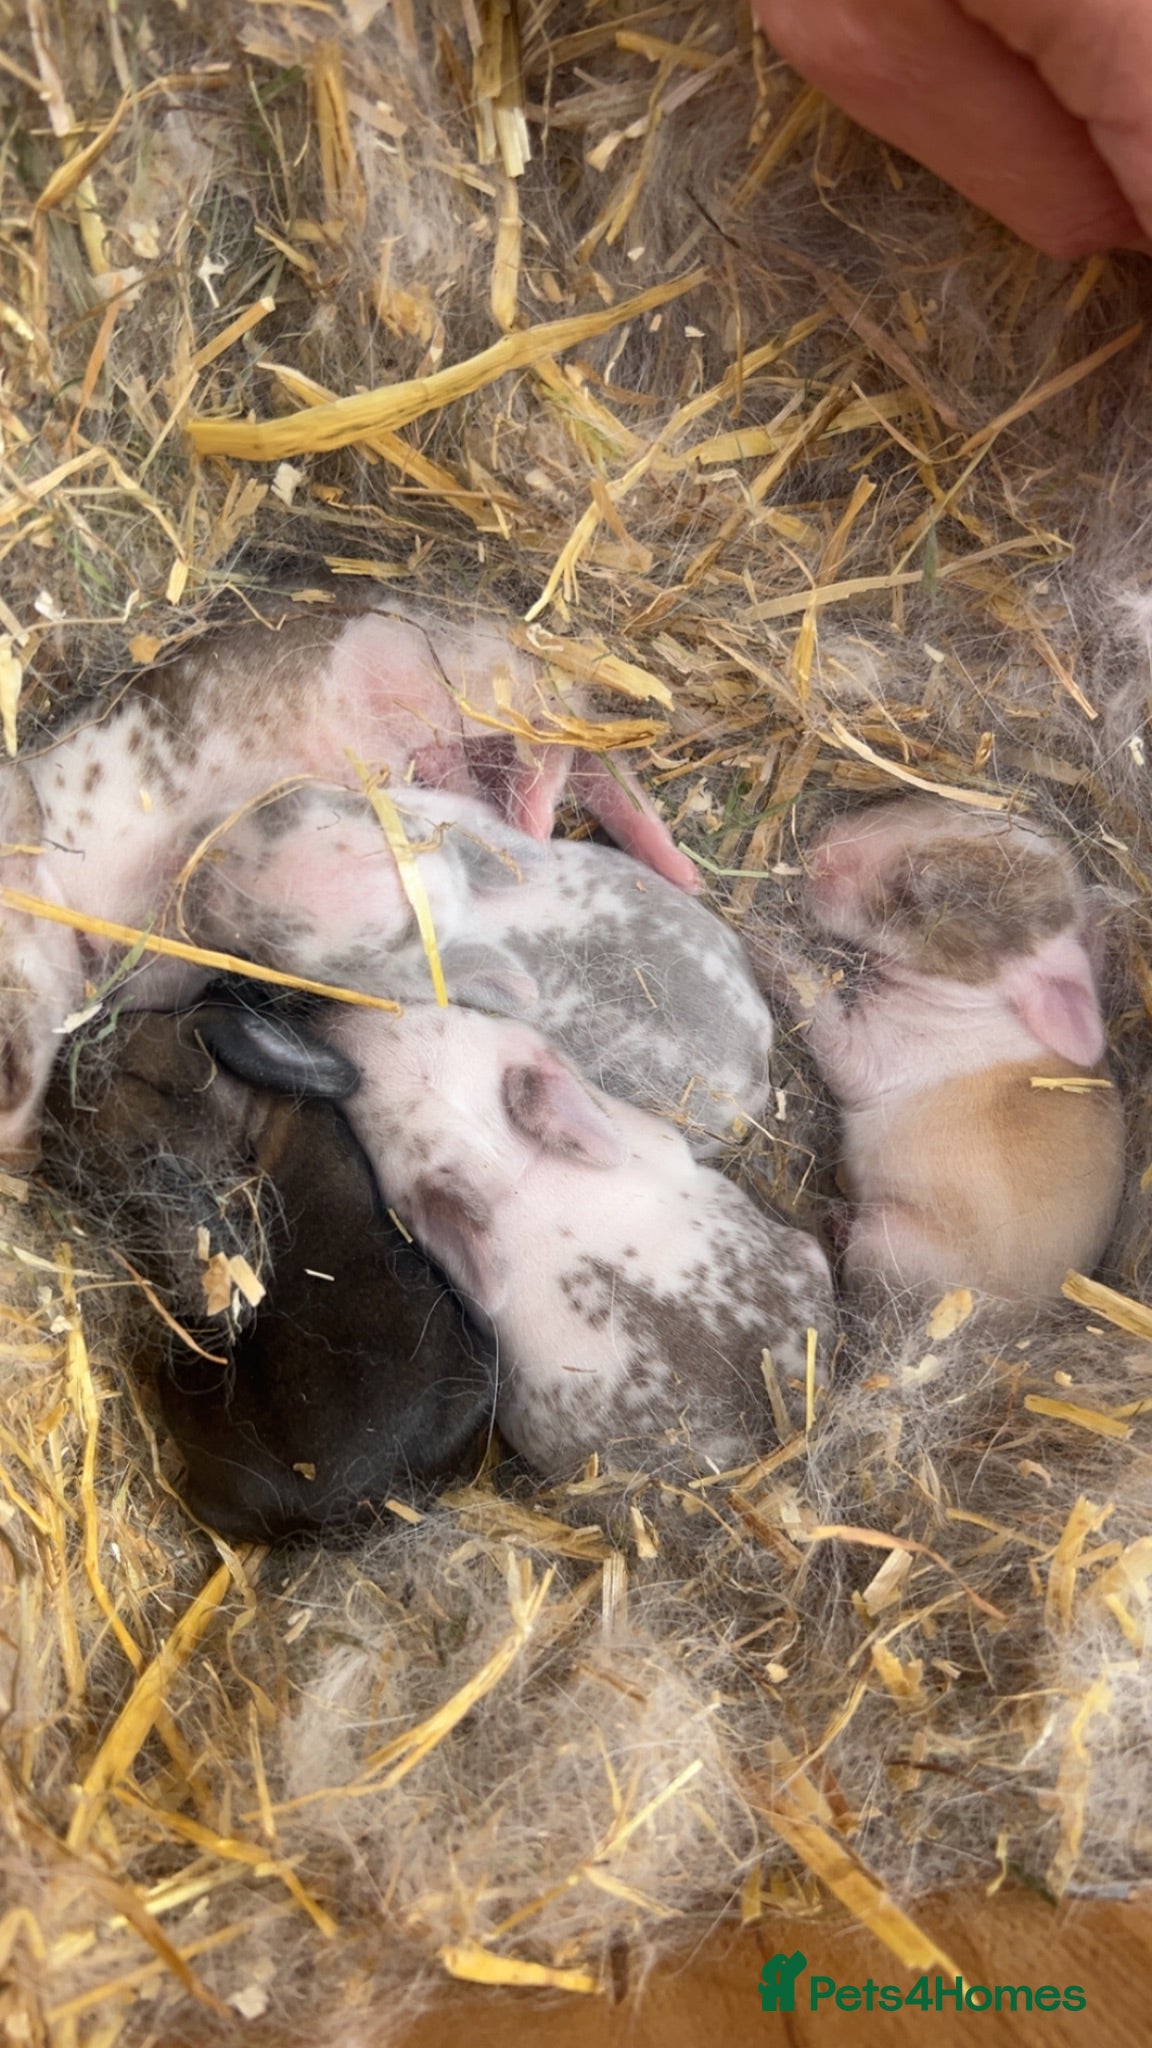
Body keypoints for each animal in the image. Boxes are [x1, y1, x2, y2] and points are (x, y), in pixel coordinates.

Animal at [780, 795, 1126, 1300]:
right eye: (953, 811)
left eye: (917, 894)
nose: (819, 845)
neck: (976, 1000)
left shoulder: (875, 1056)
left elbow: (818, 1011)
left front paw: (770, 948)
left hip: (887, 1241)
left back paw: (838, 1220)